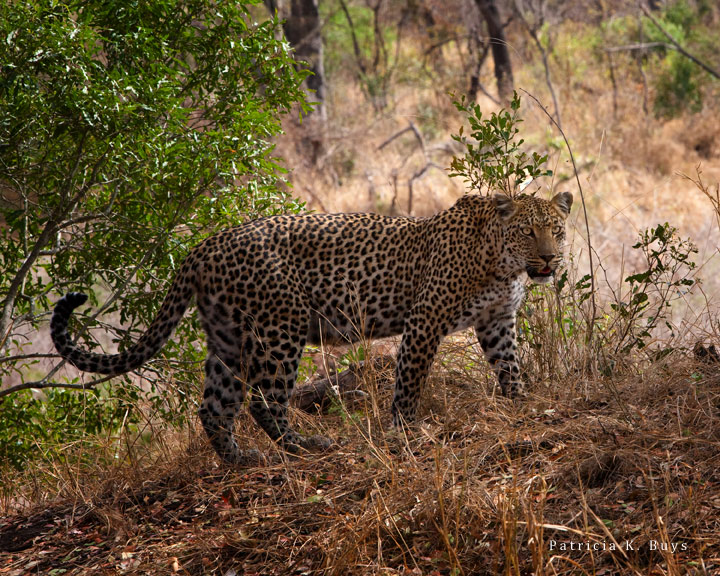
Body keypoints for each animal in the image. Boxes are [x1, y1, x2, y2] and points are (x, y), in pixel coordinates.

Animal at [51, 192, 572, 464]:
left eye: (558, 230)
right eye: (528, 231)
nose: (549, 259)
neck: (502, 265)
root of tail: (203, 246)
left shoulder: (497, 322)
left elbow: (510, 367)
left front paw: (520, 403)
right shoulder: (425, 321)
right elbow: (409, 382)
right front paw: (404, 430)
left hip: (229, 338)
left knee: (215, 406)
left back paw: (241, 459)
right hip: (280, 327)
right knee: (265, 401)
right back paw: (305, 446)